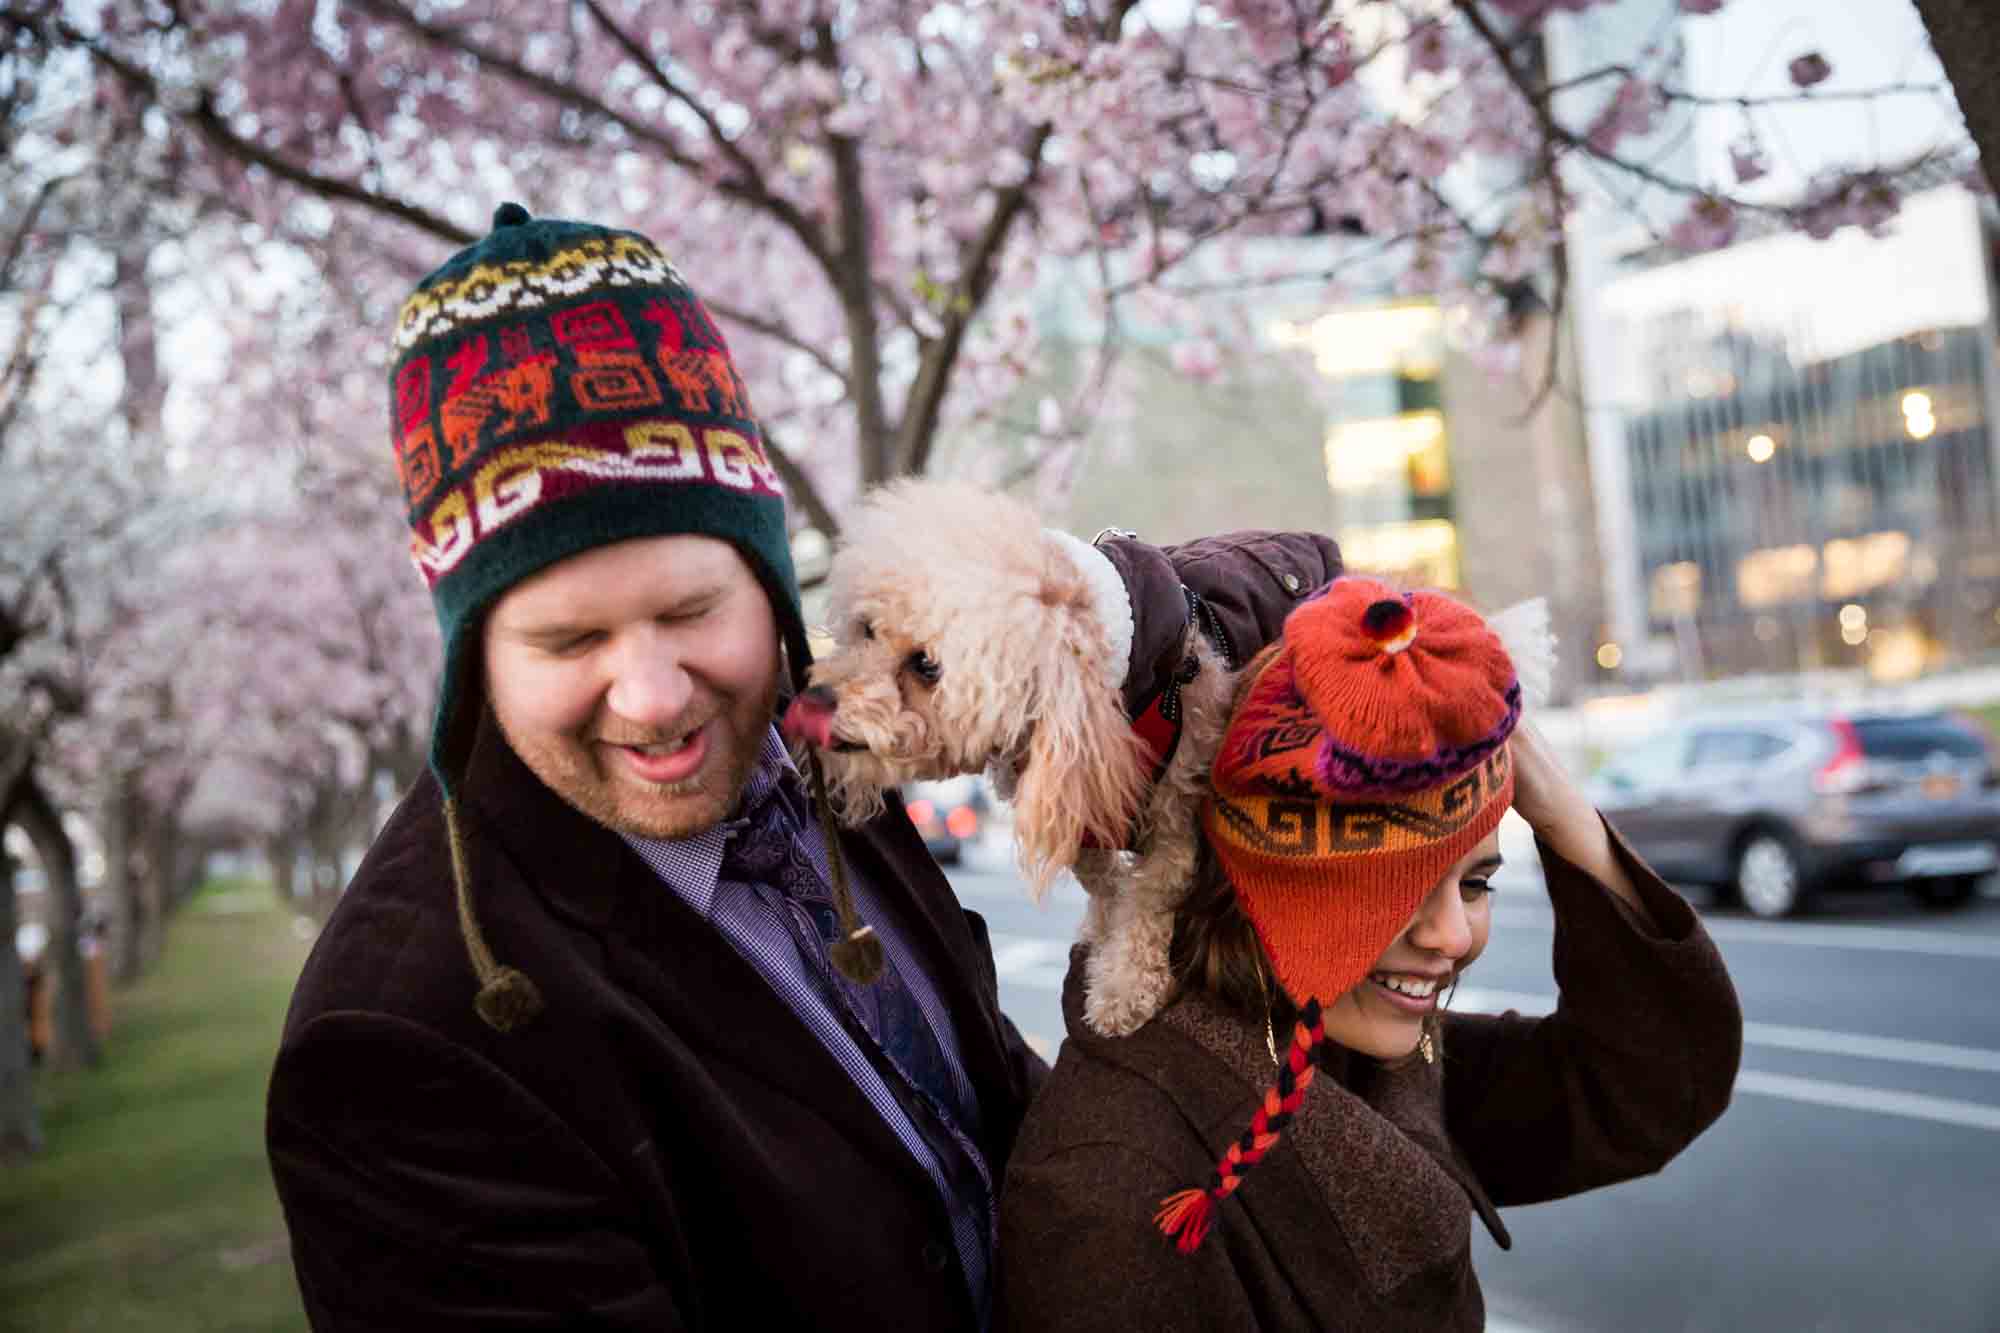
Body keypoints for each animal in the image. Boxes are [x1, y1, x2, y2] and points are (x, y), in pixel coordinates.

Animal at [784, 480, 1232, 1040]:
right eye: (866, 629)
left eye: (926, 666)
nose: (815, 700)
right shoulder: (1077, 819)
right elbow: (1106, 888)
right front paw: (1100, 941)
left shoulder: (1174, 823)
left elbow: (1147, 898)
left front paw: (1123, 990)